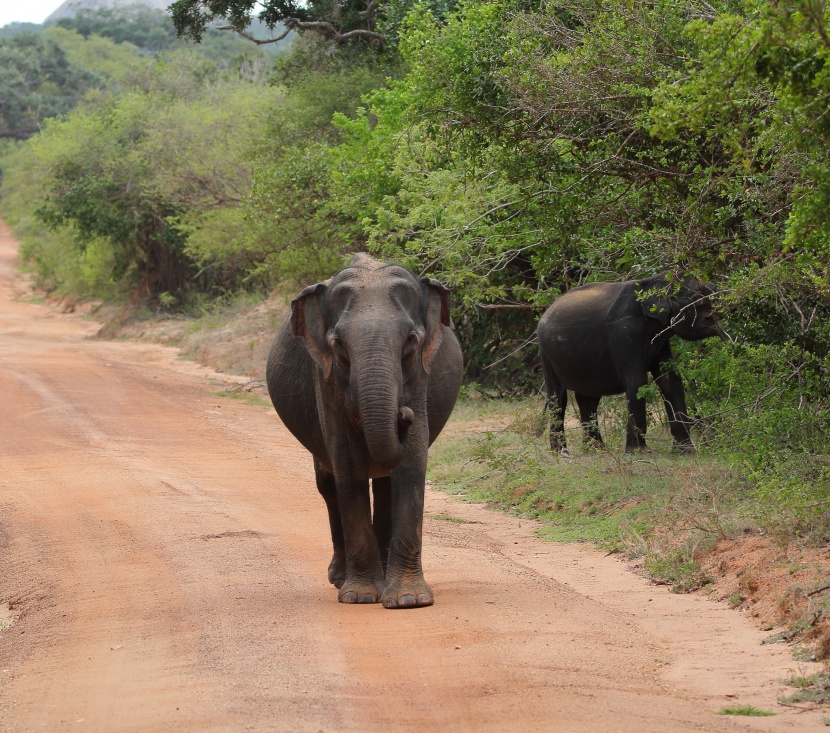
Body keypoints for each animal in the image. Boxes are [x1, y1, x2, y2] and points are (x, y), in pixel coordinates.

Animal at [266, 252, 464, 608]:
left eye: (411, 342)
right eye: (338, 346)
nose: (403, 414)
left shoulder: (420, 379)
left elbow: (411, 466)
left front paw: (410, 600)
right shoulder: (326, 382)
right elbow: (347, 467)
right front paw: (360, 597)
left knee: (384, 487)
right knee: (328, 485)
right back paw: (340, 579)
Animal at [540, 274, 728, 452]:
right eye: (697, 296)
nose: (725, 337)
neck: (653, 283)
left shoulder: (661, 340)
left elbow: (670, 381)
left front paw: (686, 450)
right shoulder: (624, 333)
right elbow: (637, 381)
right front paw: (639, 452)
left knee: (588, 399)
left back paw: (596, 450)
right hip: (547, 355)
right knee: (558, 397)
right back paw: (562, 452)